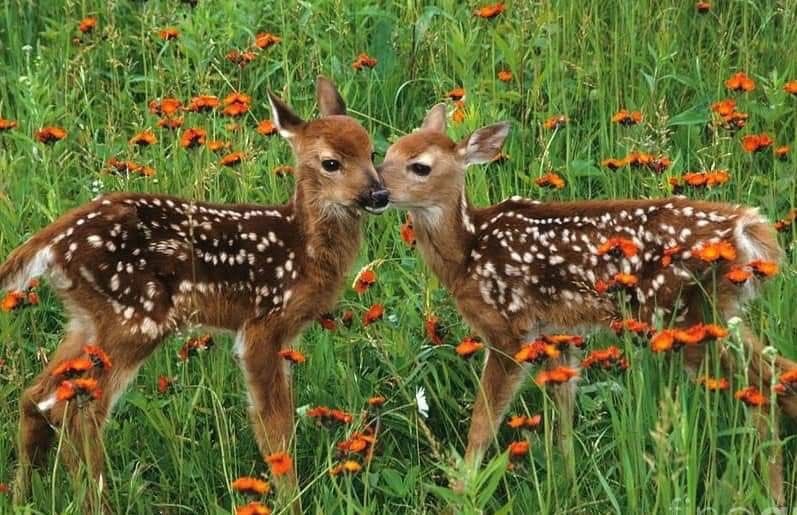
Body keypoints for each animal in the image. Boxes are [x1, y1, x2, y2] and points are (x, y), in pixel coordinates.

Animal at [2, 76, 388, 508]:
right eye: (331, 162)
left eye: (372, 152)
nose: (379, 195)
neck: (303, 248)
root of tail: (53, 240)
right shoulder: (262, 326)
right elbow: (275, 429)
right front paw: (291, 501)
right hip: (135, 316)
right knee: (78, 413)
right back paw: (97, 503)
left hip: (87, 320)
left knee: (36, 396)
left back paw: (22, 497)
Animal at [377, 104, 797, 505]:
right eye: (387, 154)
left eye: (420, 166)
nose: (377, 194)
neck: (466, 253)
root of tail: (747, 229)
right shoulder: (557, 333)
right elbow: (563, 418)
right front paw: (568, 484)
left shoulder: (509, 330)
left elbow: (481, 425)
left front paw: (462, 493)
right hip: (717, 311)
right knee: (778, 374)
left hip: (681, 316)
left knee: (761, 387)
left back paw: (773, 496)